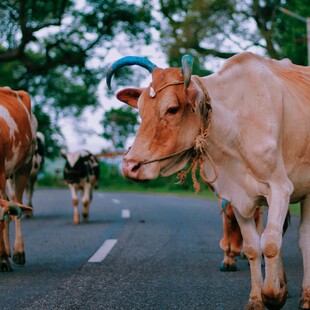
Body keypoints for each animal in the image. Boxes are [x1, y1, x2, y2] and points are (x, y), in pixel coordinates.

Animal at [106, 53, 310, 310]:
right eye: (141, 110)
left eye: (172, 109)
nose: (130, 166)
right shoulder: (238, 197)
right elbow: (253, 248)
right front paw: (257, 299)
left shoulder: (280, 188)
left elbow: (271, 244)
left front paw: (273, 295)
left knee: (303, 238)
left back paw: (305, 296)